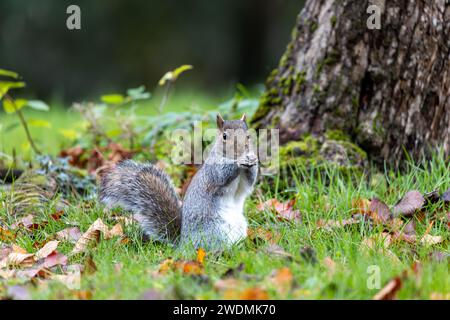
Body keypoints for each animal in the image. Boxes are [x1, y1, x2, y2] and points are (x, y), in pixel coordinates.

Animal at [100, 114, 258, 250]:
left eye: (248, 136)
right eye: (225, 136)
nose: (243, 149)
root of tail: (183, 243)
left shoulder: (246, 179)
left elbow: (250, 181)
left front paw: (252, 158)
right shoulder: (213, 171)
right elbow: (222, 174)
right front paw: (239, 161)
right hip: (214, 231)